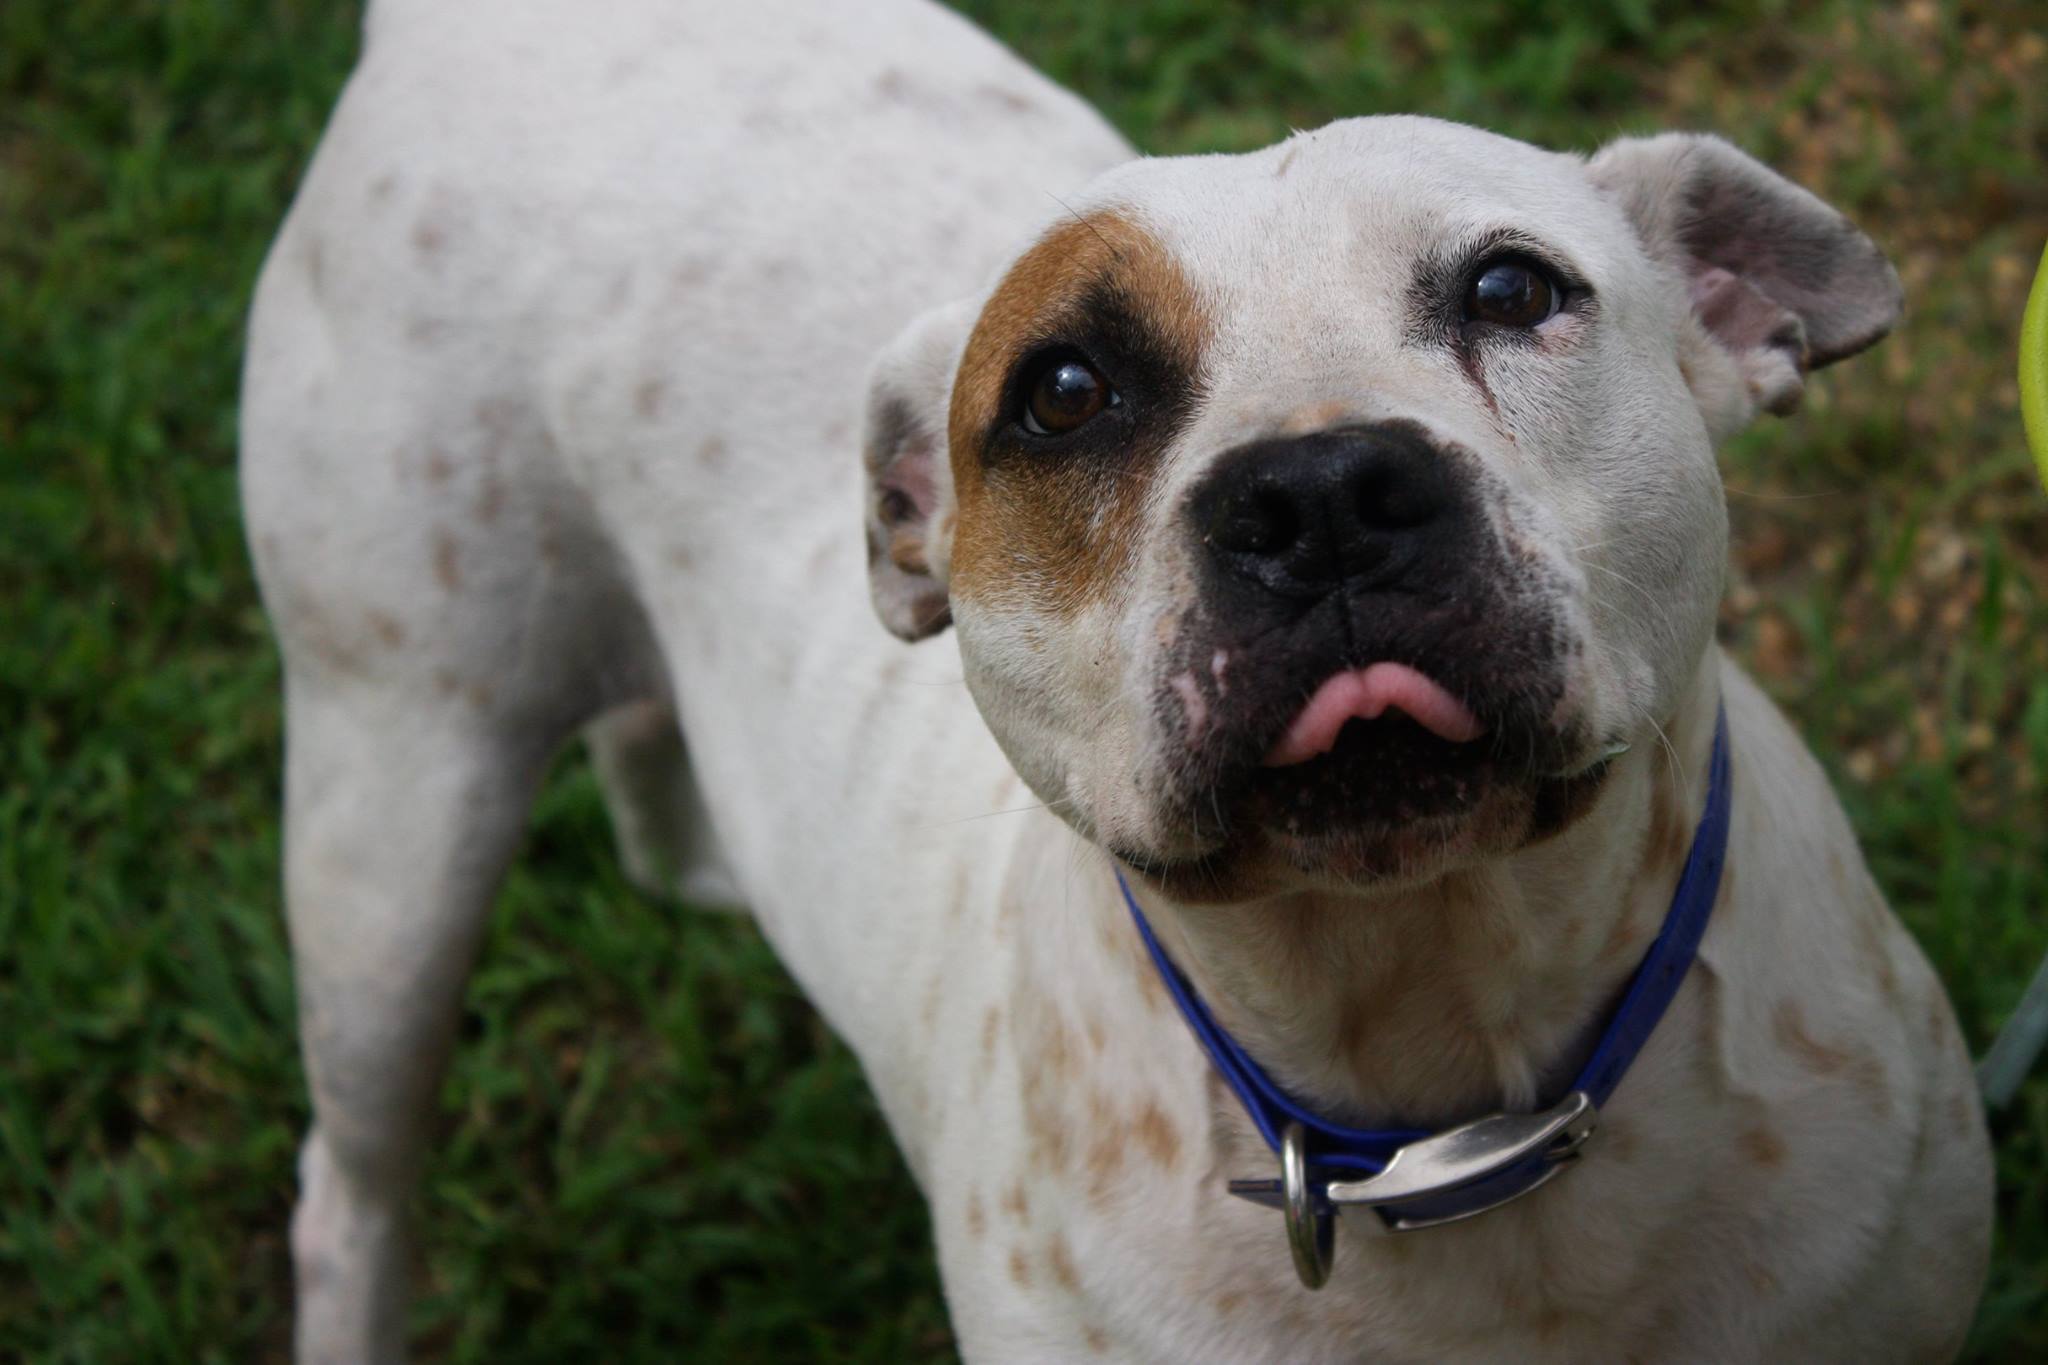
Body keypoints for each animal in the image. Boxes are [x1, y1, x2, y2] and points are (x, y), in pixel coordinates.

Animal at [239, 2, 1982, 1365]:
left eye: (1512, 290)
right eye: (1063, 392)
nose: (1321, 494)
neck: (1441, 1102)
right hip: (394, 814)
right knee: (351, 1191)